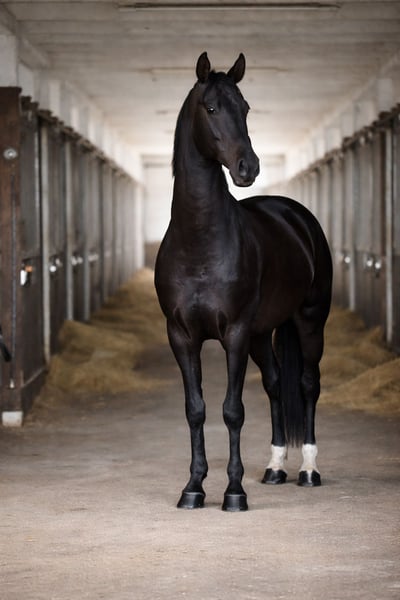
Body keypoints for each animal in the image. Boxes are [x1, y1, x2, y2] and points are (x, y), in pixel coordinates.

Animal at [155, 52, 332, 512]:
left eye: (247, 108)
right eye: (211, 108)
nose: (248, 168)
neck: (200, 240)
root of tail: (295, 215)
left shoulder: (233, 333)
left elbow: (232, 410)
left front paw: (234, 491)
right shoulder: (181, 336)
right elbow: (196, 409)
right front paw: (194, 488)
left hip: (309, 322)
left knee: (307, 385)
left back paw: (308, 470)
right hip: (261, 334)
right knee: (274, 384)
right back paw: (274, 469)